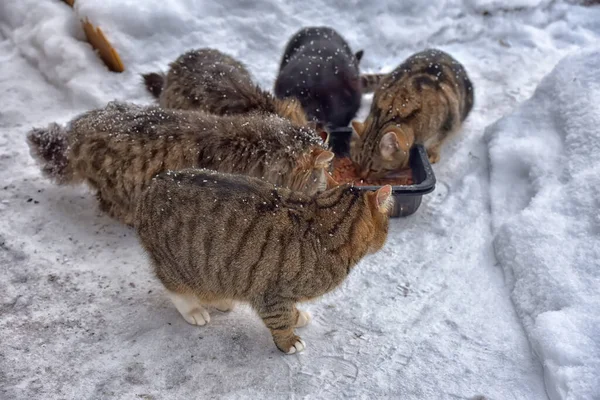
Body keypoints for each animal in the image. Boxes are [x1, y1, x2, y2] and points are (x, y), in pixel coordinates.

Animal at [135, 168, 394, 354]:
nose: (386, 236)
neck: (325, 222)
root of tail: (155, 182)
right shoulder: (271, 293)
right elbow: (280, 318)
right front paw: (289, 340)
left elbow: (289, 312)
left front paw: (298, 316)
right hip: (177, 264)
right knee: (175, 287)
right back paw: (194, 310)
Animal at [352, 48, 474, 178]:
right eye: (356, 162)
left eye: (373, 170)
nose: (361, 177)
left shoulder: (451, 120)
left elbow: (438, 140)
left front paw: (432, 153)